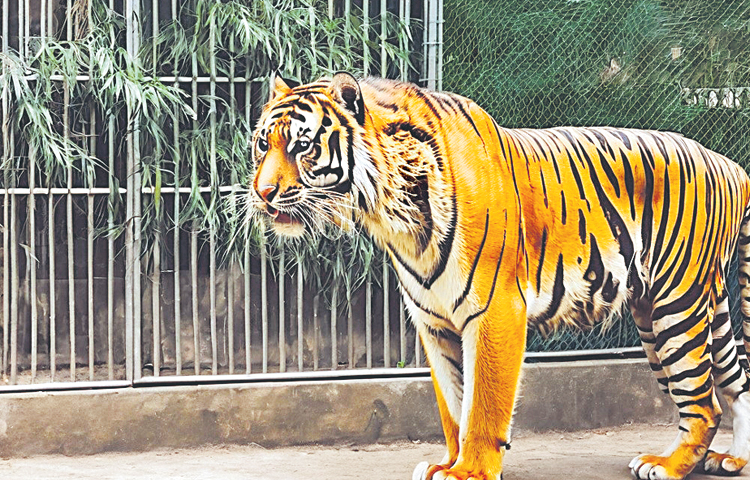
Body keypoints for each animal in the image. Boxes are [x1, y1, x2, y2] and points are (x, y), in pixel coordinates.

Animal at [249, 71, 750, 480]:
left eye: (302, 146)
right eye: (262, 144)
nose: (263, 192)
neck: (395, 216)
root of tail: (729, 164)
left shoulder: (495, 311)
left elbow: (483, 404)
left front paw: (470, 471)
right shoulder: (433, 321)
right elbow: (454, 405)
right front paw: (448, 463)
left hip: (676, 304)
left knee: (704, 401)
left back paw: (666, 464)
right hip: (674, 310)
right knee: (735, 381)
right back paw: (730, 459)